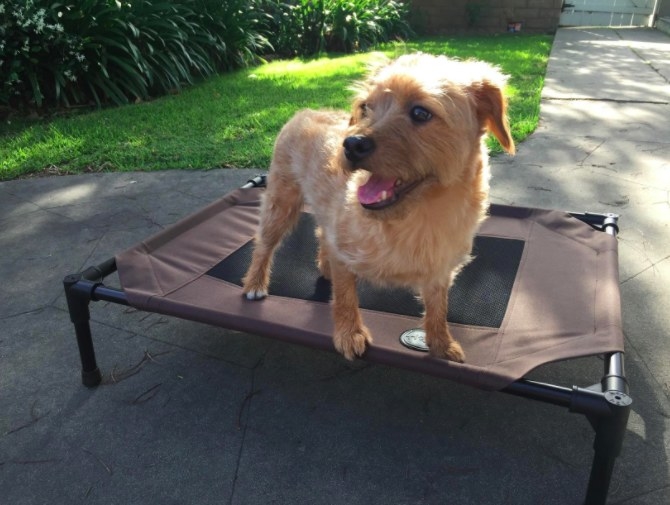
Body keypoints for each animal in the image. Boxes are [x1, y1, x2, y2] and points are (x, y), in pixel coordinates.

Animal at [244, 53, 516, 360]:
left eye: (420, 113)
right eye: (365, 107)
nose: (350, 144)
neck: (419, 215)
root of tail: (305, 112)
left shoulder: (439, 271)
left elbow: (438, 308)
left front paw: (441, 343)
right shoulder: (344, 251)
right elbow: (345, 296)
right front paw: (349, 333)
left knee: (321, 234)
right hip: (281, 203)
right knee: (264, 243)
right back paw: (255, 283)